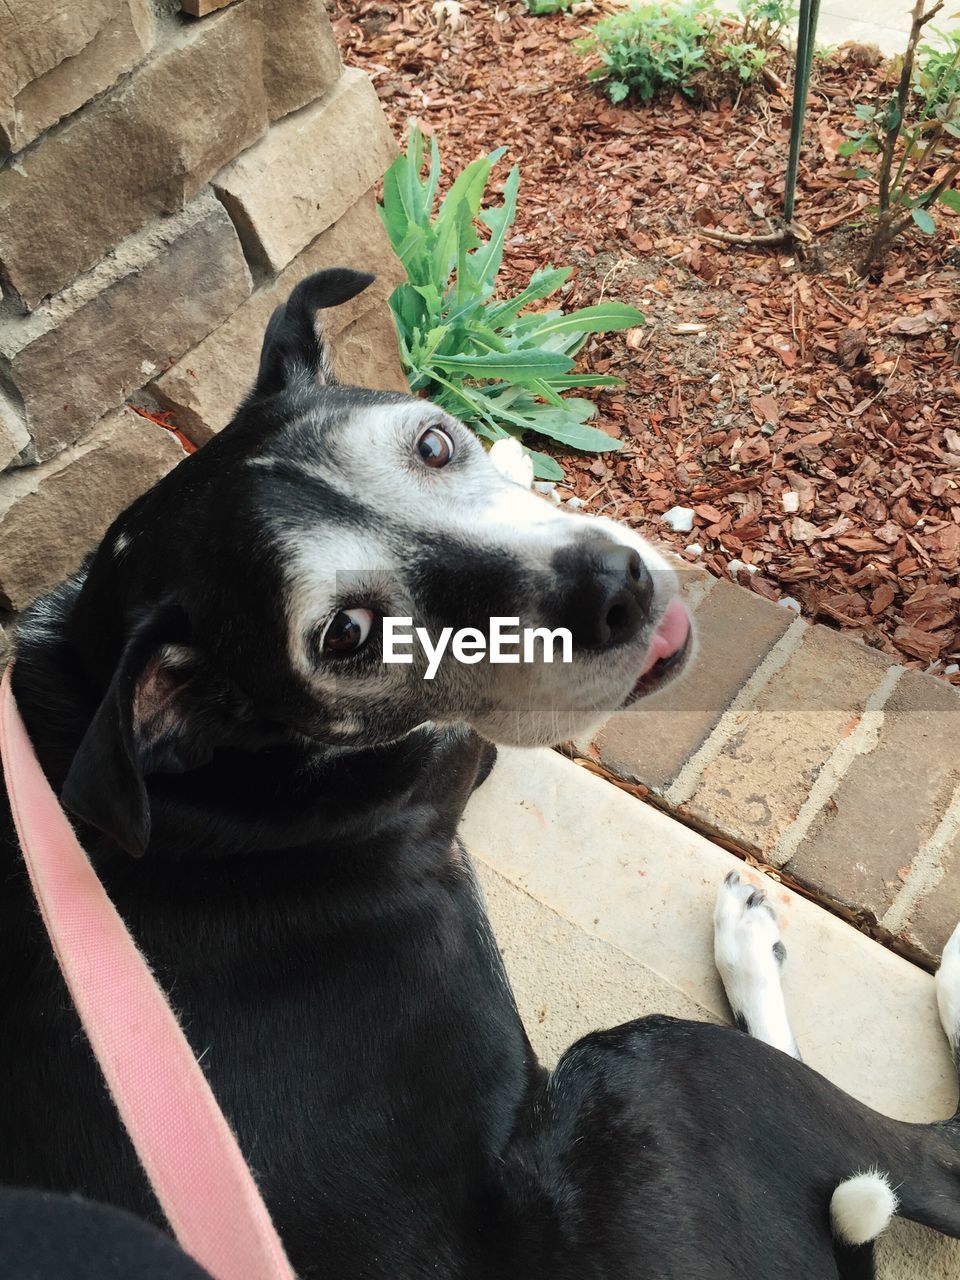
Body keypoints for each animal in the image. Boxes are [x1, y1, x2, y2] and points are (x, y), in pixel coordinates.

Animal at [1, 272, 960, 1280]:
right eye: (346, 634)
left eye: (432, 442)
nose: (615, 586)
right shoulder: (460, 754)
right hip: (651, 1066)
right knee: (931, 1161)